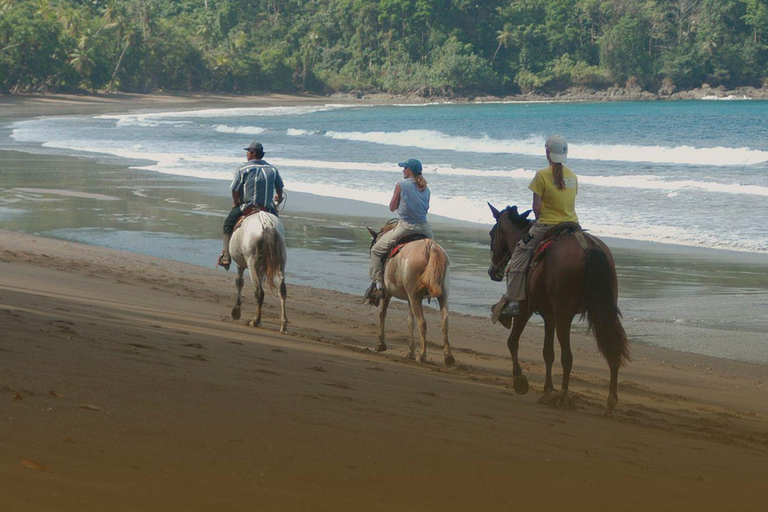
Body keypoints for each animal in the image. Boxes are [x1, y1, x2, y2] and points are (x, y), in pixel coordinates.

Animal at [368, 223, 452, 364]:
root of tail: (430, 247)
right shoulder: (408, 298)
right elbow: (410, 322)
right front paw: (410, 351)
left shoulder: (388, 294)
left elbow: (382, 314)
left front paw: (381, 344)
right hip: (442, 294)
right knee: (445, 321)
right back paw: (448, 357)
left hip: (415, 297)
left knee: (422, 323)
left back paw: (422, 355)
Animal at [488, 202, 628, 414]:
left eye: (491, 233)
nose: (492, 271)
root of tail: (588, 247)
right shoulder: (549, 315)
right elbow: (548, 352)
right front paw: (547, 392)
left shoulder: (526, 308)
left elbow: (513, 342)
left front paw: (520, 380)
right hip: (602, 310)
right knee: (612, 347)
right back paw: (610, 402)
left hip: (564, 314)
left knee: (567, 356)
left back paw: (564, 397)